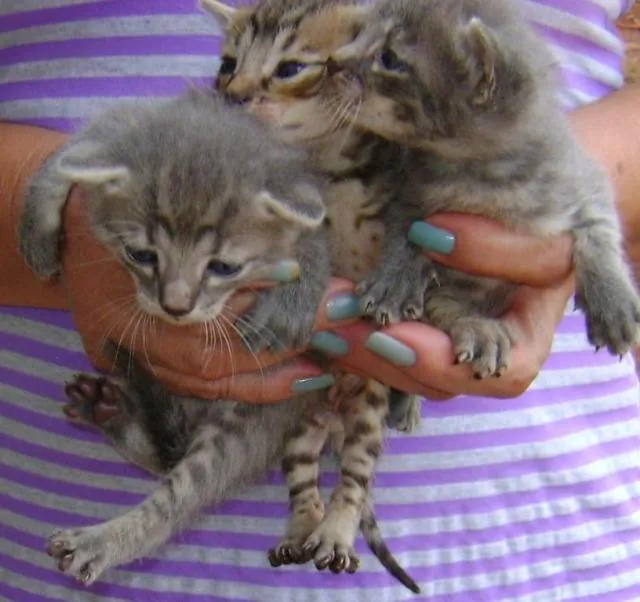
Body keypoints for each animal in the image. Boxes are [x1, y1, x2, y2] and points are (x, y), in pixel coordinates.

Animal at [205, 0, 422, 592]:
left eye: (290, 68)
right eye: (228, 64)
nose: (235, 95)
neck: (326, 165)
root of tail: (335, 413)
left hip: (366, 406)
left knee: (354, 477)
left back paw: (337, 534)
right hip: (300, 415)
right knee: (304, 479)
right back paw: (302, 530)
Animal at [330, 0, 640, 376]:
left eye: (389, 58)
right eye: (359, 33)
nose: (330, 61)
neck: (483, 180)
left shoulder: (581, 176)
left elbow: (600, 228)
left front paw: (612, 297)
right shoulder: (407, 186)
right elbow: (407, 224)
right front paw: (396, 274)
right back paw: (477, 327)